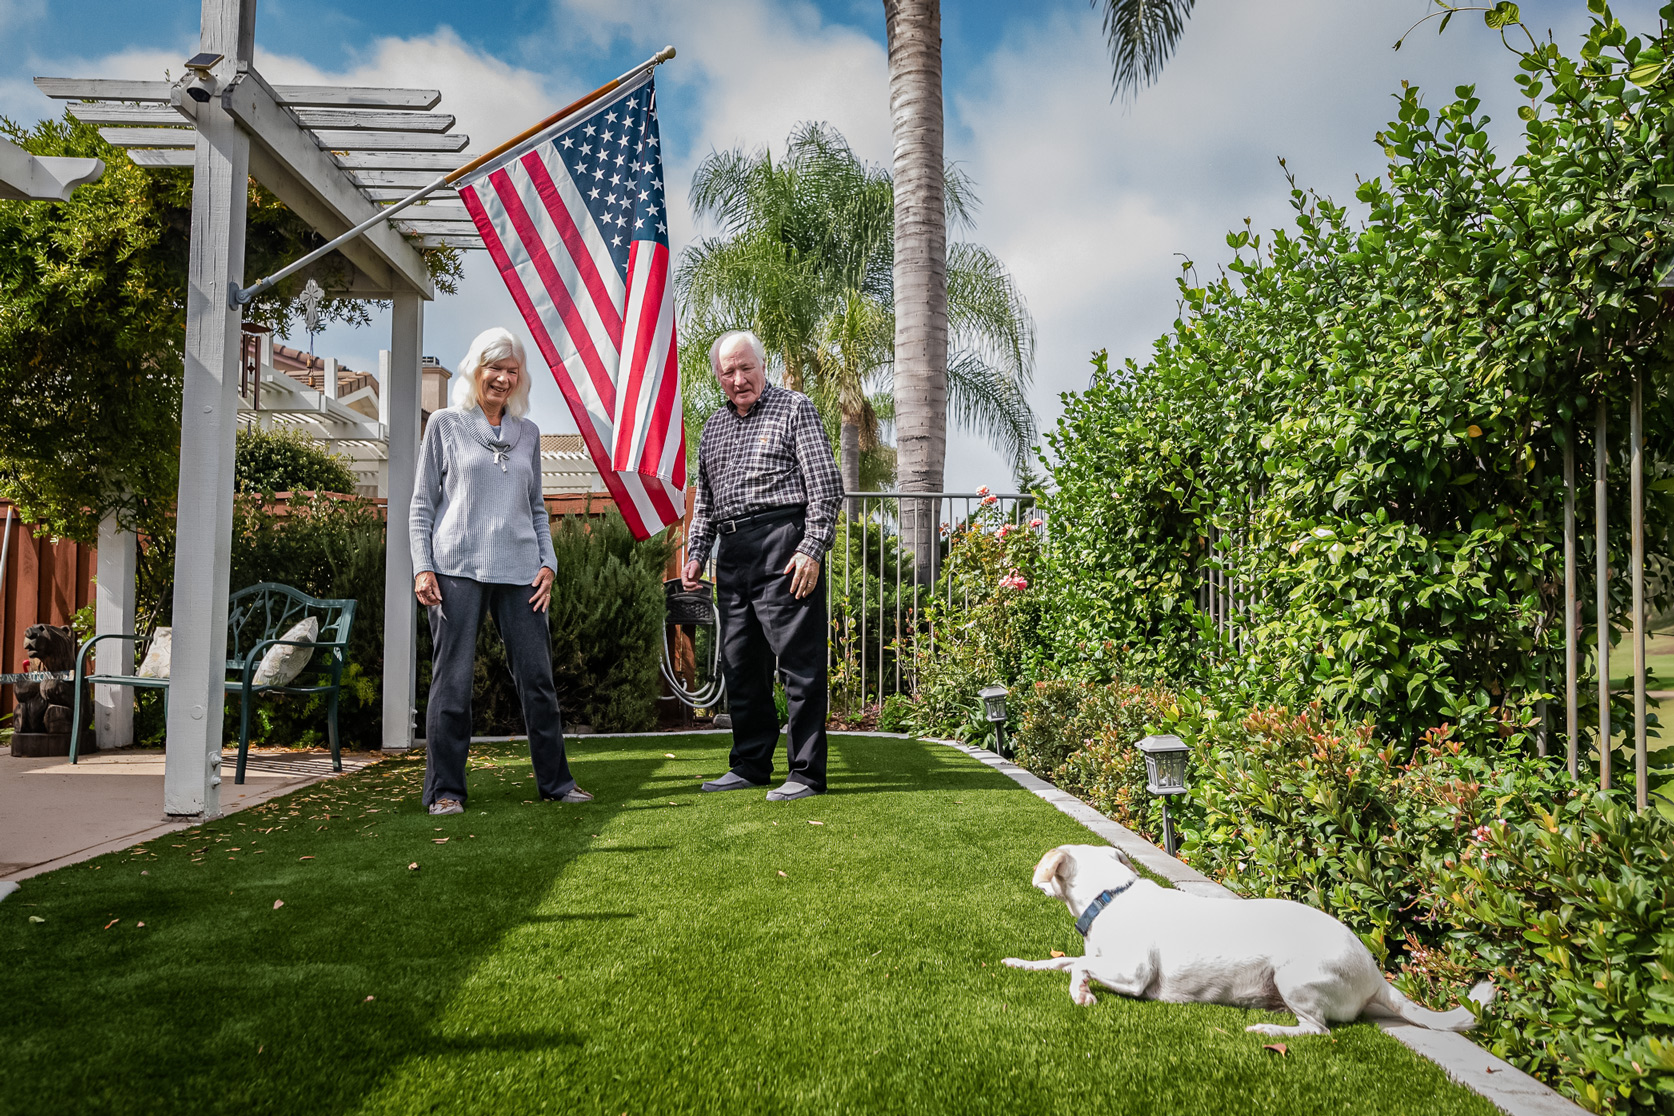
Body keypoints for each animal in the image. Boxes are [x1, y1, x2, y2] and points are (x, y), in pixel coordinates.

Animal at [997, 846, 1499, 1037]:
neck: (1110, 896)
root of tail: (1377, 975)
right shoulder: (1101, 959)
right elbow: (1061, 961)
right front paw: (1021, 964)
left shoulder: (1133, 974)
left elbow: (1080, 968)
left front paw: (1081, 995)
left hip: (1295, 976)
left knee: (1318, 1030)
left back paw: (1269, 1030)